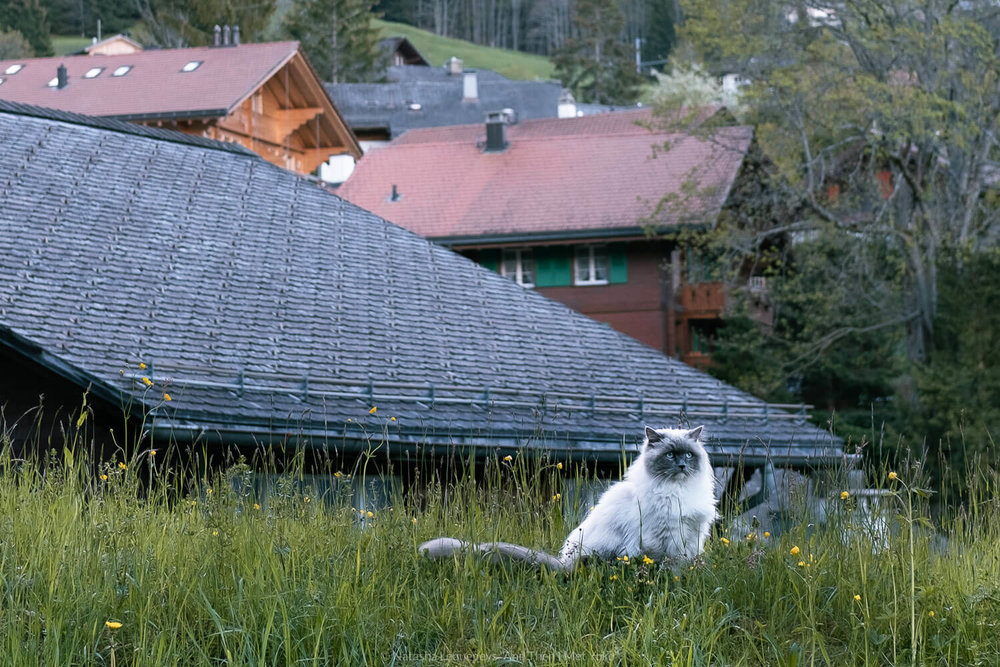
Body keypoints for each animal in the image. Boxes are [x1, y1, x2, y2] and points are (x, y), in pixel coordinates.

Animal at [418, 426, 716, 572]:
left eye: (688, 455)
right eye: (670, 455)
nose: (682, 466)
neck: (677, 491)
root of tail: (563, 564)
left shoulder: (691, 537)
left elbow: (684, 565)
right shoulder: (664, 538)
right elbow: (669, 567)